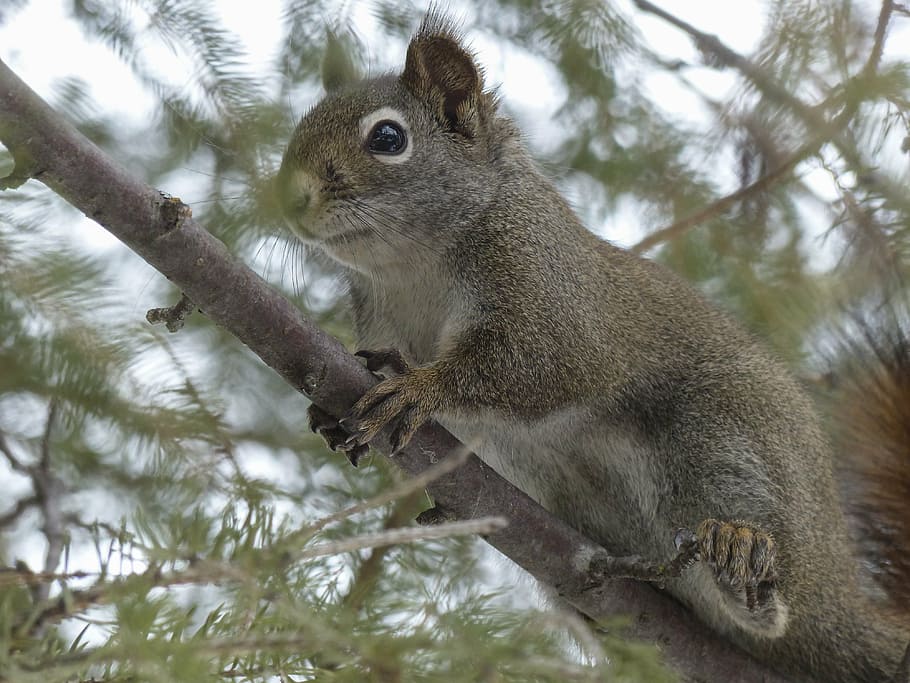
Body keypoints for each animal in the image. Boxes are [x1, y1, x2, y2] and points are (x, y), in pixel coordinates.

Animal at [275, 12, 910, 682]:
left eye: (388, 137)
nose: (288, 196)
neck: (410, 266)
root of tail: (841, 593)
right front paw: (334, 413)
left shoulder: (554, 298)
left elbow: (534, 368)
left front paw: (418, 388)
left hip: (726, 439)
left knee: (769, 576)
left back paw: (745, 563)